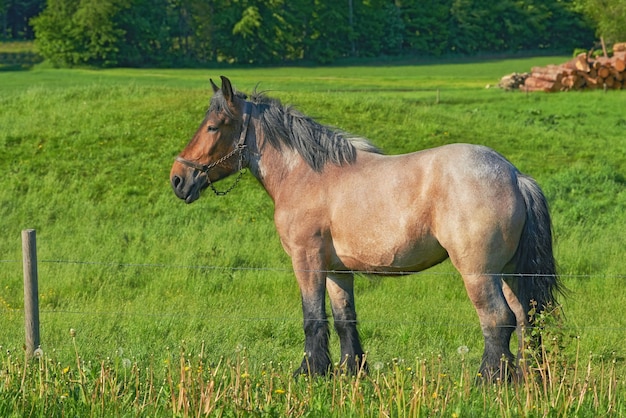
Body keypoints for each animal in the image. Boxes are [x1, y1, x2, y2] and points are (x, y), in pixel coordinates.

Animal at [169, 76, 560, 382]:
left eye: (213, 126)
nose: (178, 178)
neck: (306, 174)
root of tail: (514, 175)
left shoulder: (306, 260)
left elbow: (313, 316)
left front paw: (309, 371)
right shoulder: (336, 270)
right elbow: (345, 320)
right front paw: (350, 370)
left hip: (479, 273)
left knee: (497, 319)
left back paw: (488, 380)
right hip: (509, 272)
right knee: (526, 319)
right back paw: (529, 378)